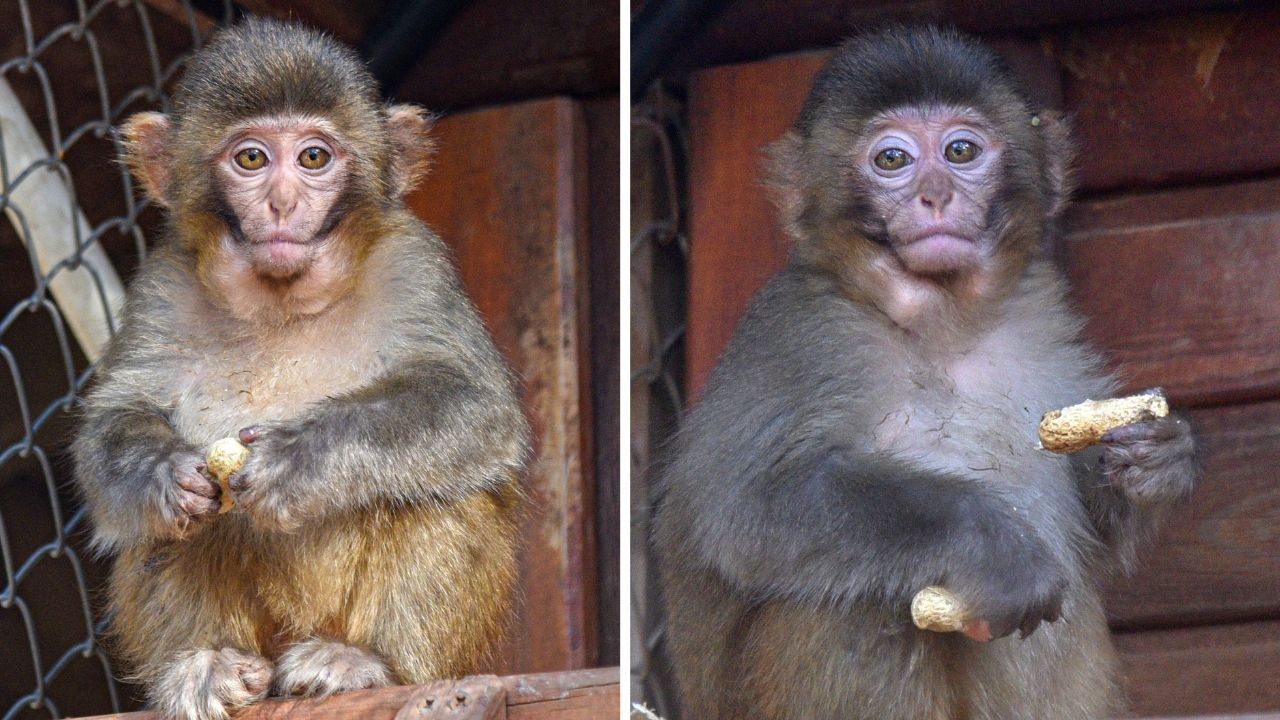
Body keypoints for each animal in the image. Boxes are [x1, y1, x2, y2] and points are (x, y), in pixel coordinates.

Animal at [70, 18, 527, 717]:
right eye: (251, 159)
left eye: (314, 158)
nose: (282, 202)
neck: (282, 300)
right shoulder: (163, 284)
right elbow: (114, 422)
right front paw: (161, 472)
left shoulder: (413, 263)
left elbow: (476, 407)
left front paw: (301, 458)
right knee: (169, 531)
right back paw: (208, 664)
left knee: (434, 491)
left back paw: (363, 663)